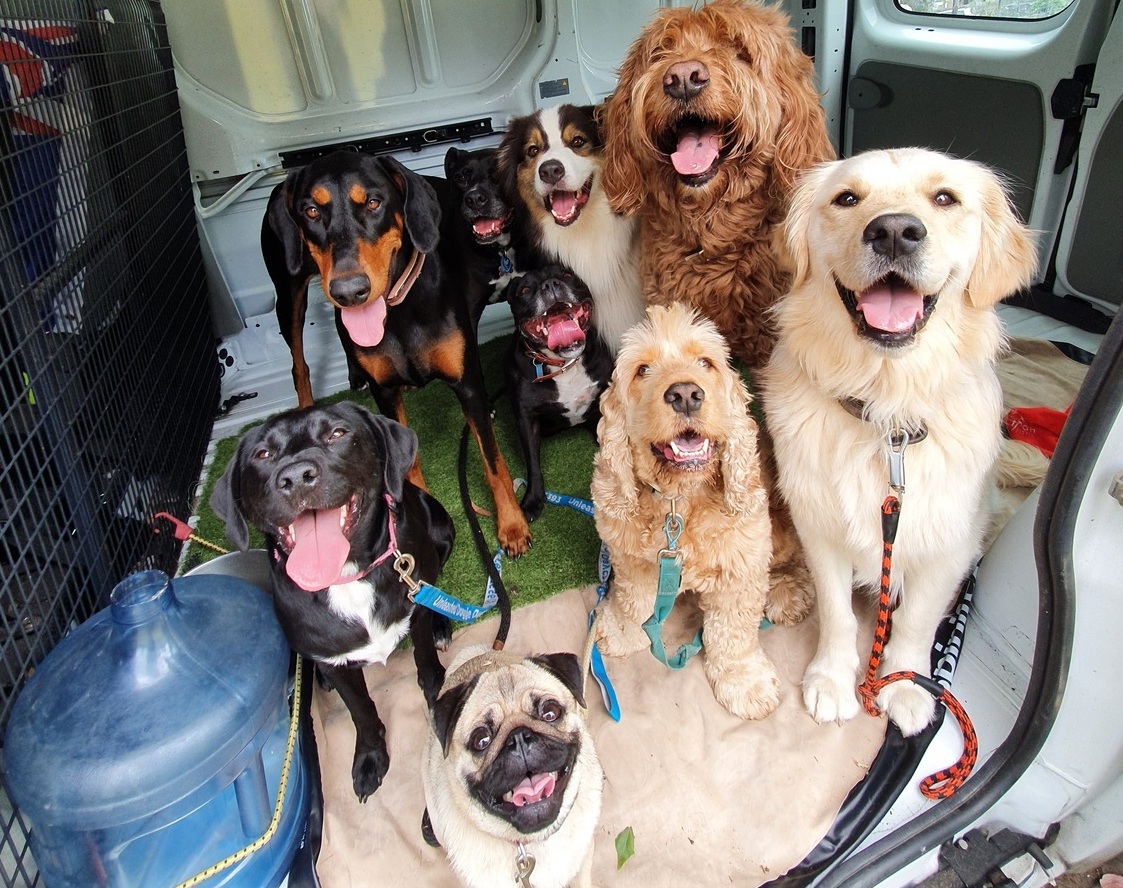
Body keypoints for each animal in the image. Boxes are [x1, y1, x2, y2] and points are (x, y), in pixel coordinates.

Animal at [211, 401, 451, 803]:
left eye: (337, 433)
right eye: (262, 454)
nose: (296, 476)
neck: (347, 576)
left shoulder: (415, 607)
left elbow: (426, 662)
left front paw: (439, 694)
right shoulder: (338, 665)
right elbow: (361, 710)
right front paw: (370, 757)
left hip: (441, 530)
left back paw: (442, 626)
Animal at [262, 151, 530, 556]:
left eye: (374, 203)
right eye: (310, 211)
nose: (350, 290)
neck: (398, 308)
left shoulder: (466, 380)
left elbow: (494, 461)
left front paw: (512, 525)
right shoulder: (385, 394)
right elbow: (407, 457)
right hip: (290, 292)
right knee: (300, 362)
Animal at [505, 267, 610, 525]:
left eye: (566, 275)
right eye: (524, 290)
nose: (551, 284)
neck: (564, 365)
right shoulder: (527, 420)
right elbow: (532, 463)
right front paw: (533, 499)